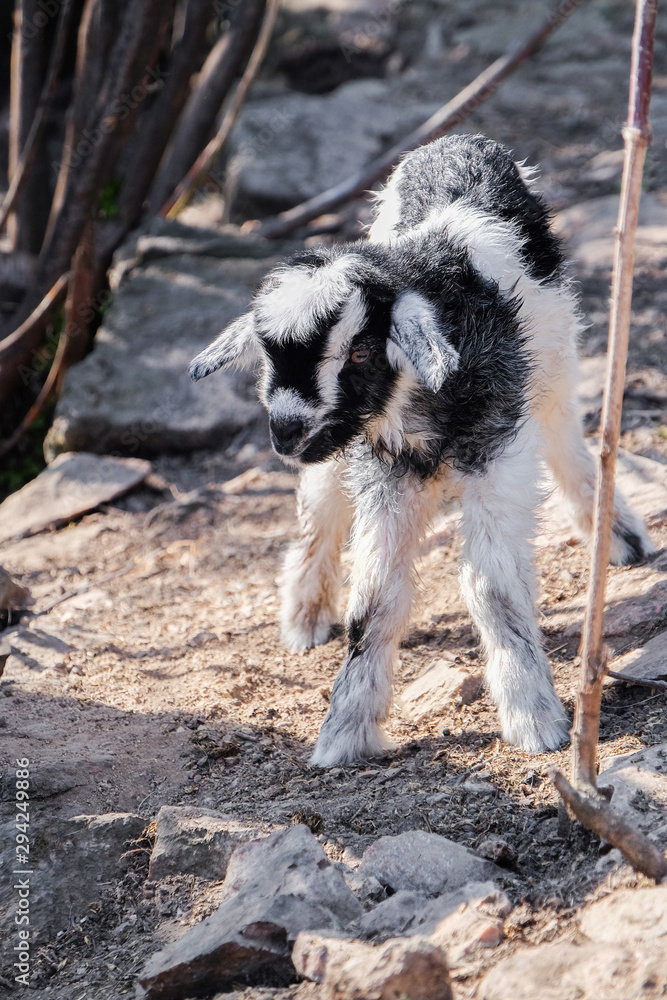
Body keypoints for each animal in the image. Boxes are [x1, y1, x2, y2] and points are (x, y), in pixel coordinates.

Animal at [190, 134, 654, 767]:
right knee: (320, 508)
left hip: (554, 366)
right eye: (268, 356)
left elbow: (493, 589)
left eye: (360, 353)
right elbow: (374, 603)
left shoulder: (498, 453)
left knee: (566, 442)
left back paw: (618, 533)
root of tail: (457, 141)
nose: (285, 431)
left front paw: (535, 719)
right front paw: (344, 731)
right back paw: (305, 613)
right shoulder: (384, 472)